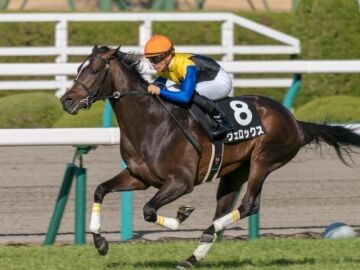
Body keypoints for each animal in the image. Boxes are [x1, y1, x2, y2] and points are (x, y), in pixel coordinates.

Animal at [60, 46, 358, 268]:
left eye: (94, 70)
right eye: (78, 69)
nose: (67, 101)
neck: (151, 122)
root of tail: (295, 121)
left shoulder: (181, 182)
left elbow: (148, 210)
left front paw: (181, 215)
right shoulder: (138, 177)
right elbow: (100, 190)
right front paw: (100, 243)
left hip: (263, 160)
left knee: (249, 205)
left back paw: (203, 236)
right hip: (234, 172)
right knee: (225, 209)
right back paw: (194, 255)